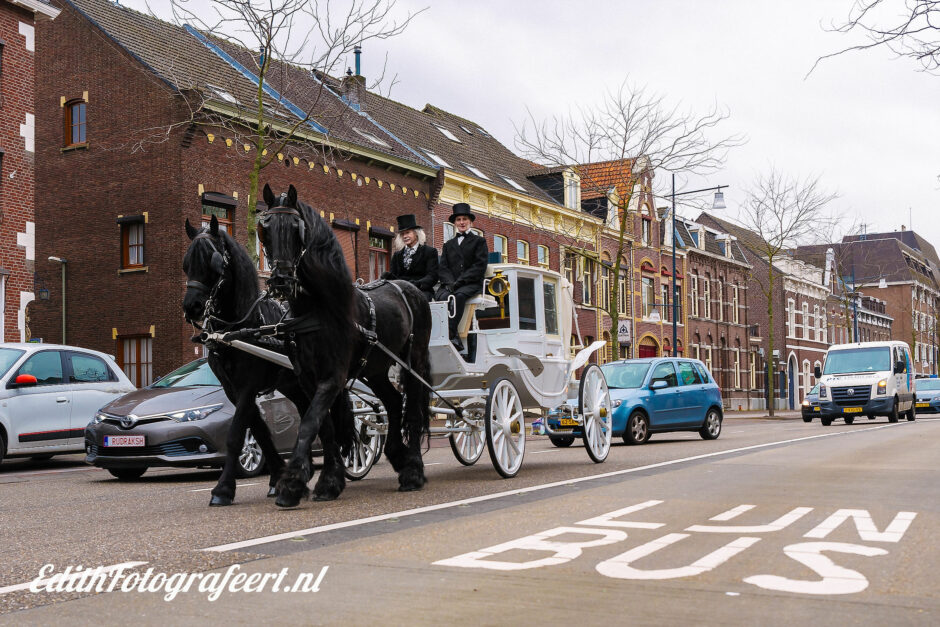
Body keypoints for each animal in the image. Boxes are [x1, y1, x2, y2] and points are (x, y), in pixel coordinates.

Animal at [182, 216, 346, 506]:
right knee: (309, 414)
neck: (240, 327)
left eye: (213, 263)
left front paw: (223, 489)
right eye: (186, 262)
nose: (192, 307)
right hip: (294, 384)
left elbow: (237, 433)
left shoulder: (249, 385)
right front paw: (277, 477)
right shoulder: (233, 388)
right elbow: (257, 428)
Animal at [258, 183, 432, 506]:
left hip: (412, 361)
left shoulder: (333, 377)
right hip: (375, 369)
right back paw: (398, 456)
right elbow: (323, 427)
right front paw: (328, 480)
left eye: (296, 229)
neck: (319, 308)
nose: (281, 280)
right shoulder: (307, 378)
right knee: (392, 402)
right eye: (265, 228)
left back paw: (413, 471)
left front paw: (293, 483)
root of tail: (408, 286)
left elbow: (309, 422)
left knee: (412, 409)